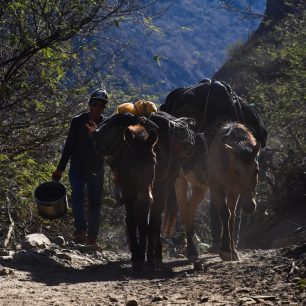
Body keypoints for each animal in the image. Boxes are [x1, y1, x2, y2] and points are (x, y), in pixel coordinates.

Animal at [175, 120, 260, 262]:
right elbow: (225, 213)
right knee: (184, 211)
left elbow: (232, 216)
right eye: (238, 171)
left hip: (200, 187)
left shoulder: (234, 191)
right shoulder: (216, 188)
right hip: (180, 181)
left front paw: (233, 251)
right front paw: (225, 250)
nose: (249, 207)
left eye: (256, 170)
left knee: (190, 210)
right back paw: (191, 251)